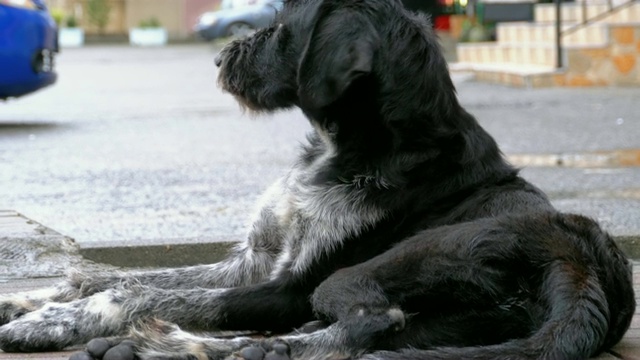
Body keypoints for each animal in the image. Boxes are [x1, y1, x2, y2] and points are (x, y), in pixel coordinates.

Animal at [0, 0, 636, 360]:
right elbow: (118, 276)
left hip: (371, 271)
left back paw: (173, 343)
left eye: (282, 29)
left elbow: (135, 290)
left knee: (357, 329)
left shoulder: (287, 285)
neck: (346, 151)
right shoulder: (256, 259)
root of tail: (585, 271)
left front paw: (51, 321)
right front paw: (31, 298)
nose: (218, 59)